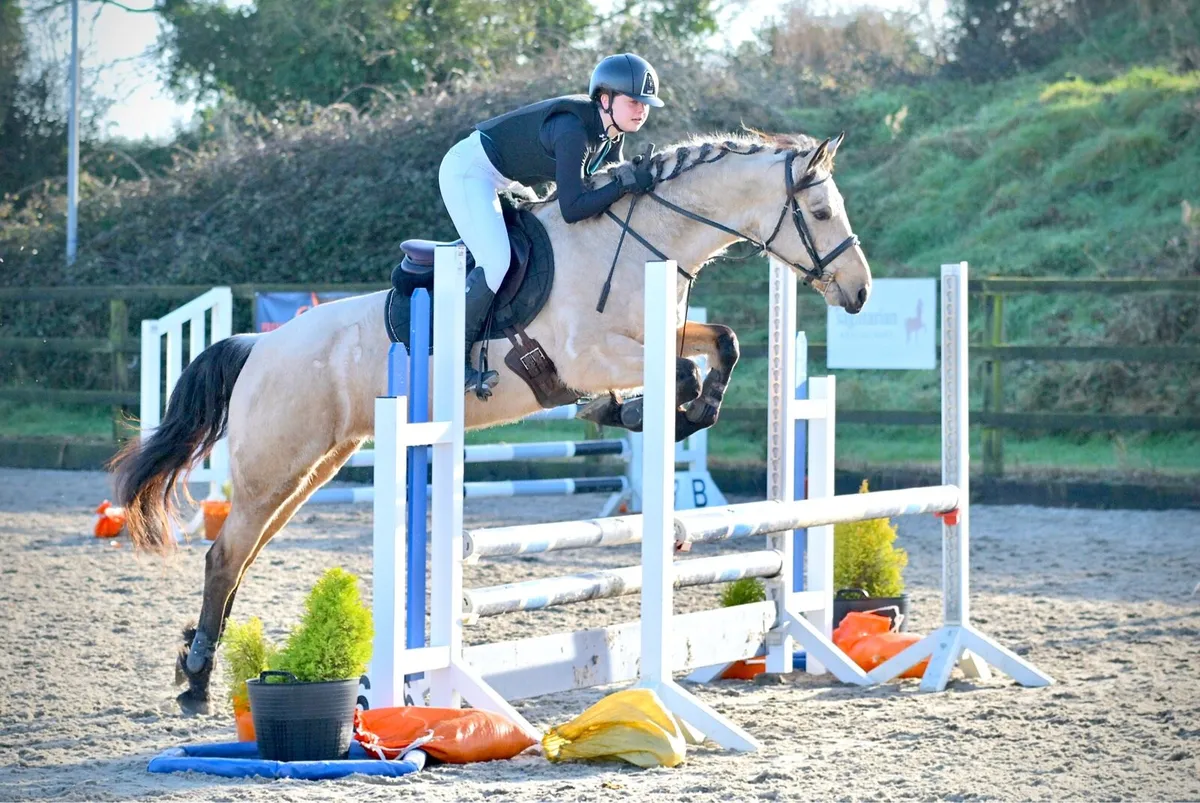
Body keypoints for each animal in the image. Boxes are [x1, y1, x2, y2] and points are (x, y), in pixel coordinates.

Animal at [110, 128, 873, 714]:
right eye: (821, 211)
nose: (860, 292)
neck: (636, 239)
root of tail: (260, 344)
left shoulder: (655, 333)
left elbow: (723, 344)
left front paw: (657, 411)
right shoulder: (588, 353)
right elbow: (678, 374)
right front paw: (626, 408)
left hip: (313, 465)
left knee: (241, 555)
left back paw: (193, 668)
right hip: (275, 465)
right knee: (223, 555)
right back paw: (196, 683)